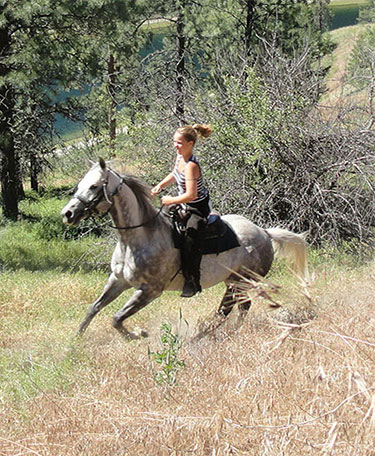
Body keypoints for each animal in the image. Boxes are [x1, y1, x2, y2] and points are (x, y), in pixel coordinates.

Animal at [61, 157, 308, 338]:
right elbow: (94, 308)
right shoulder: (117, 280)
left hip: (240, 281)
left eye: (94, 186)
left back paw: (210, 335)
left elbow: (117, 318)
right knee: (236, 307)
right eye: (79, 185)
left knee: (232, 308)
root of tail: (264, 233)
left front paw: (138, 334)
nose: (67, 214)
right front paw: (74, 342)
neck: (137, 238)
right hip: (232, 281)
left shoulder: (150, 291)